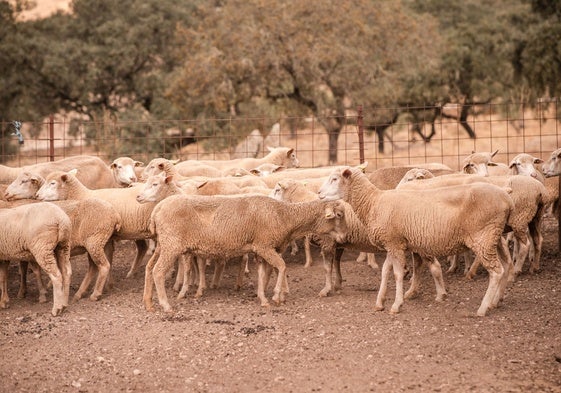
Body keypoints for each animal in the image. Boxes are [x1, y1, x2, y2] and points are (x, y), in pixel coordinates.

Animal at [142, 194, 348, 312]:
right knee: (158, 271)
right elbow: (281, 266)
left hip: (163, 244)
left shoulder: (260, 249)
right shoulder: (264, 245)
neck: (284, 216)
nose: (345, 237)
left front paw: (264, 298)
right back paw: (166, 306)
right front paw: (276, 296)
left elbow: (264, 274)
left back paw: (149, 303)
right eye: (339, 215)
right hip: (172, 245)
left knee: (149, 268)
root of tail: (157, 209)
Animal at [318, 165, 516, 316]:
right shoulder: (392, 242)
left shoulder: (394, 244)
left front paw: (396, 305)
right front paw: (380, 302)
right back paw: (495, 302)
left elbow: (397, 274)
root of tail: (507, 197)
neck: (374, 202)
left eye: (334, 179)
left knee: (496, 271)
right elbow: (385, 271)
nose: (319, 193)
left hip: (483, 237)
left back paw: (483, 308)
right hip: (493, 236)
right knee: (506, 265)